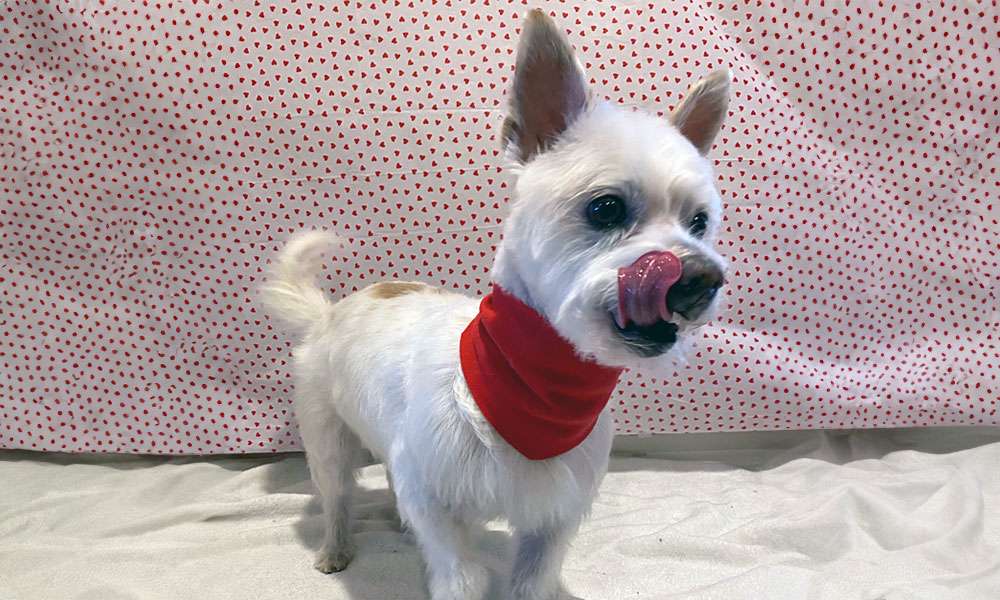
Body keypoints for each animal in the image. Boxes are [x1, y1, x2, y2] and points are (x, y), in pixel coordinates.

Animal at [266, 9, 732, 600]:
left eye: (699, 223)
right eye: (605, 208)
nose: (703, 278)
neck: (537, 386)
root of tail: (329, 315)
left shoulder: (553, 516)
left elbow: (532, 578)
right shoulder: (438, 504)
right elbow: (459, 574)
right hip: (326, 436)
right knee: (336, 496)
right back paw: (335, 547)